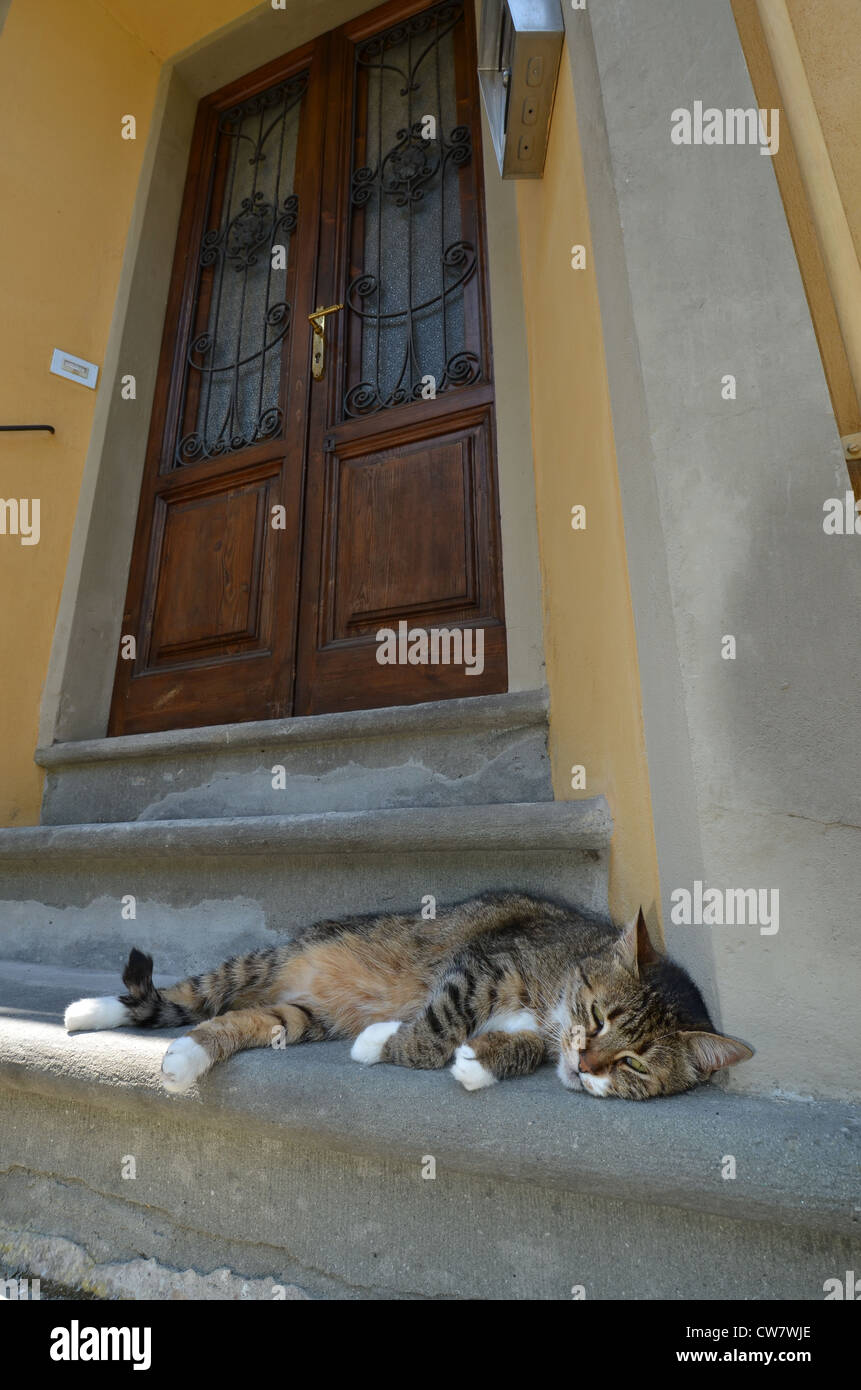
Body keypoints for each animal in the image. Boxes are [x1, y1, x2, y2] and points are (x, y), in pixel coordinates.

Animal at [65, 889, 756, 1095]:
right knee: (190, 993)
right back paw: (88, 1009)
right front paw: (382, 1042)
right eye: (598, 1015)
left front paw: (481, 1065)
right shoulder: (481, 966)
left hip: (302, 1014)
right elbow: (440, 1025)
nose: (588, 1064)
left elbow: (519, 1049)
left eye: (635, 1062)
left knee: (240, 1020)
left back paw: (187, 1056)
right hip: (260, 963)